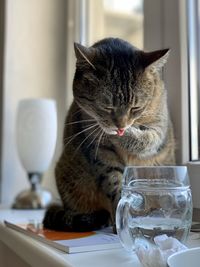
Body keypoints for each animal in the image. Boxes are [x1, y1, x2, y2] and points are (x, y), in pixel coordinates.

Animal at [42, 37, 175, 232]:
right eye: (106, 107)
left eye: (136, 107)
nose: (120, 126)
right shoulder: (101, 153)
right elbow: (114, 183)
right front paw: (121, 218)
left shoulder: (159, 128)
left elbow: (146, 140)